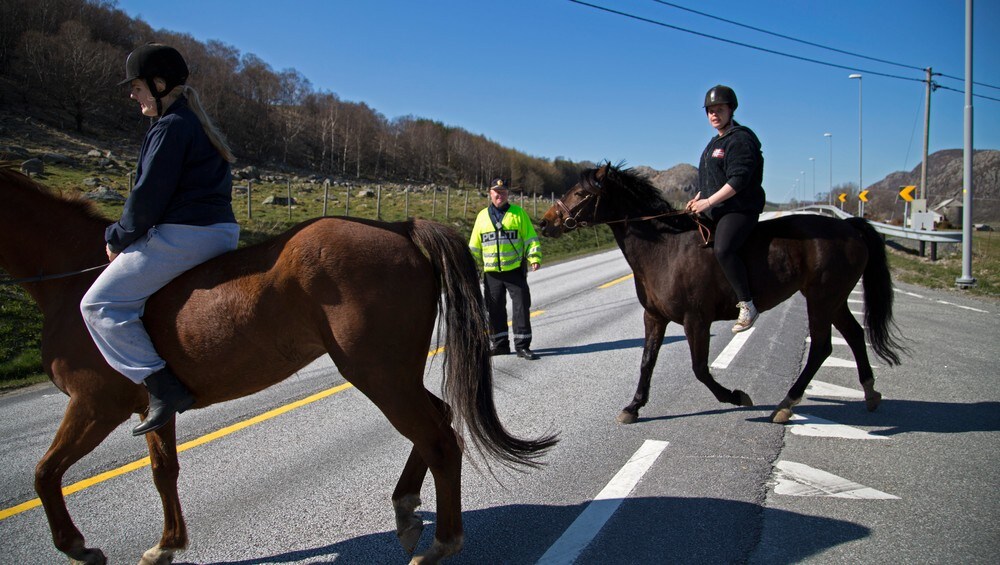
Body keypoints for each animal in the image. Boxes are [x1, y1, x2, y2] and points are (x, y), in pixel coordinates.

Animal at [0, 165, 556, 560]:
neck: (70, 278)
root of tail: (397, 227)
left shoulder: (94, 405)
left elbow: (44, 473)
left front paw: (77, 545)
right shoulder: (151, 407)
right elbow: (163, 471)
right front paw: (167, 545)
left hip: (378, 375)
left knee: (439, 439)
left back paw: (441, 541)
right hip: (393, 374)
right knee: (437, 421)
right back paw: (406, 510)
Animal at [540, 165, 908, 426]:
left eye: (579, 192)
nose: (545, 224)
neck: (665, 249)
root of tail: (850, 227)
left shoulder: (696, 320)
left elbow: (700, 369)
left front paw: (735, 396)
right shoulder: (654, 317)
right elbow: (646, 361)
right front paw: (633, 406)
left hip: (820, 299)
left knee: (821, 347)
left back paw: (785, 405)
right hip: (834, 299)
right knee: (854, 335)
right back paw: (870, 393)